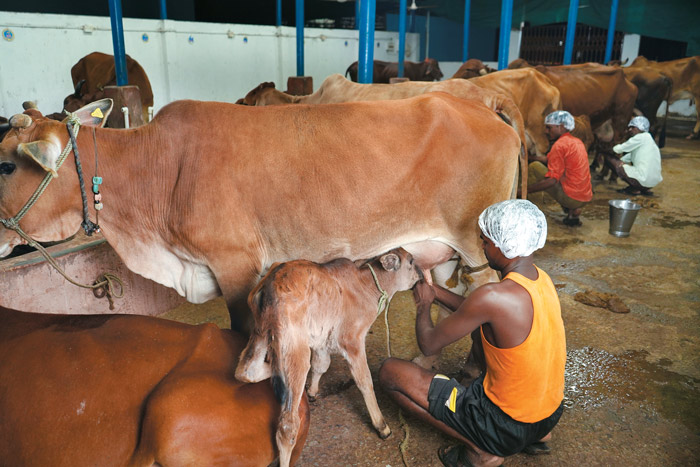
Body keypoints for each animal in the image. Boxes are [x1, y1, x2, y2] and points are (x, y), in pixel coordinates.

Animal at [235, 250, 422, 467]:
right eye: (411, 261)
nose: (420, 275)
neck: (366, 286)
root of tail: (271, 282)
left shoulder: (323, 341)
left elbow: (320, 365)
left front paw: (313, 391)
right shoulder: (352, 341)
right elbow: (365, 381)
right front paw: (381, 426)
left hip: (261, 333)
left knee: (246, 372)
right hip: (295, 347)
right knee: (287, 427)